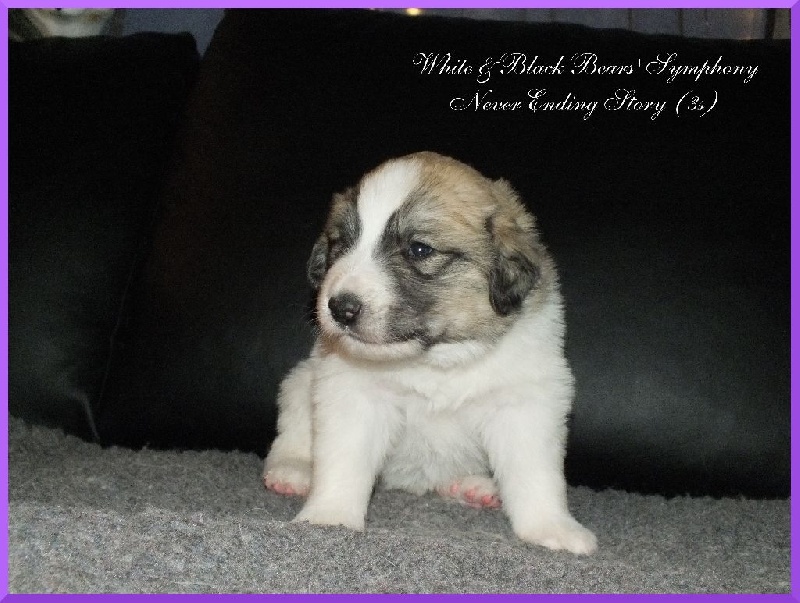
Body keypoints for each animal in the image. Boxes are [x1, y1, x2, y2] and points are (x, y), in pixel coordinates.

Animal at [263, 152, 597, 555]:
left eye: (419, 249)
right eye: (341, 244)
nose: (340, 308)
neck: (437, 359)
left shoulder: (525, 404)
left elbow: (536, 475)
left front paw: (552, 528)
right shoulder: (352, 394)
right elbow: (344, 460)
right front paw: (329, 517)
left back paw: (473, 486)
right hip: (300, 381)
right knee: (293, 429)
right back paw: (292, 472)